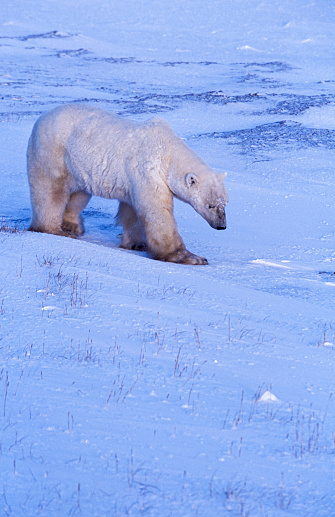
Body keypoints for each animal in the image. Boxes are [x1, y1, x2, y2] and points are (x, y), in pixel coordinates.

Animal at [27, 105, 230, 266]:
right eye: (210, 205)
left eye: (225, 203)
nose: (222, 226)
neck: (168, 153)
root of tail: (41, 118)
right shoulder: (148, 172)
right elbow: (157, 213)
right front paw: (192, 257)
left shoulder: (134, 180)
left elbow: (131, 210)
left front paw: (137, 243)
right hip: (53, 154)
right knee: (51, 193)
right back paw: (54, 229)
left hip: (78, 166)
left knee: (79, 194)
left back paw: (72, 226)